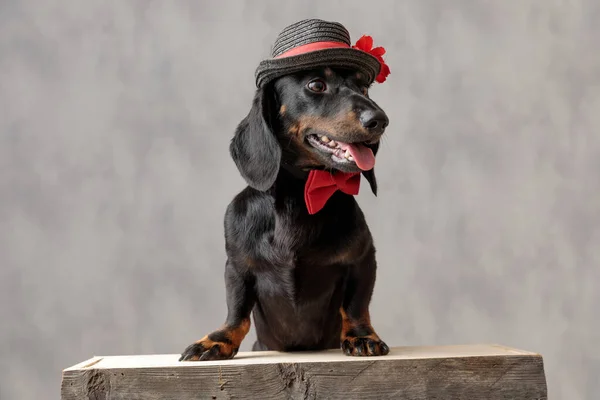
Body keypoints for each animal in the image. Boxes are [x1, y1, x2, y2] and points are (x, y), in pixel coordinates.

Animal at [180, 19, 392, 362]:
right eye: (316, 85)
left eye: (364, 88)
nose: (380, 120)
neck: (301, 195)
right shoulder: (236, 266)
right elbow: (236, 311)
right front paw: (217, 340)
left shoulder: (362, 260)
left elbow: (356, 305)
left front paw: (362, 336)